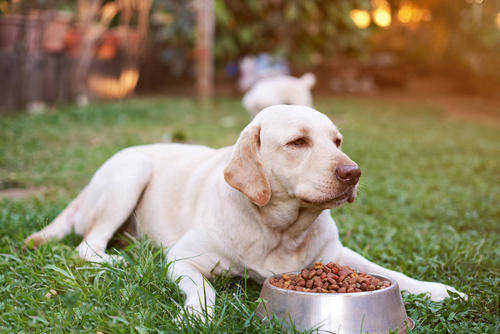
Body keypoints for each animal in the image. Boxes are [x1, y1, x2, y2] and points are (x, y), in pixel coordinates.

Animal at [26, 105, 464, 318]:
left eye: (337, 141)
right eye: (298, 142)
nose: (353, 173)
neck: (280, 230)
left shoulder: (336, 256)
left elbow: (391, 273)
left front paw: (438, 290)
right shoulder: (183, 259)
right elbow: (203, 290)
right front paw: (196, 315)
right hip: (131, 172)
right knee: (87, 247)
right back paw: (120, 261)